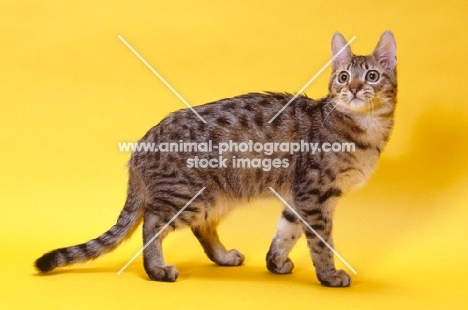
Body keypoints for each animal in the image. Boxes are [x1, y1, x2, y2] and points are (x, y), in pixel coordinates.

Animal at [34, 31, 396, 288]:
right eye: (343, 77)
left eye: (372, 76)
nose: (354, 89)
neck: (365, 130)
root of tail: (141, 145)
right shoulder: (313, 194)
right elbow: (321, 242)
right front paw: (329, 276)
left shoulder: (299, 198)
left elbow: (286, 232)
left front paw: (275, 263)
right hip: (189, 194)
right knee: (152, 222)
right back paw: (157, 269)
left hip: (215, 196)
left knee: (201, 228)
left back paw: (222, 257)